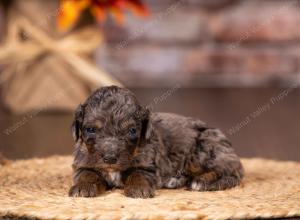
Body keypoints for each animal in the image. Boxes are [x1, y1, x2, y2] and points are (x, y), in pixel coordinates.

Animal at [68, 85, 244, 198]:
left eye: (131, 131)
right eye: (91, 129)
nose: (110, 158)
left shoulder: (149, 166)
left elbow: (138, 174)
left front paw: (138, 189)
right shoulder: (83, 164)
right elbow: (87, 174)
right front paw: (83, 187)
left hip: (203, 149)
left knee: (229, 172)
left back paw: (201, 182)